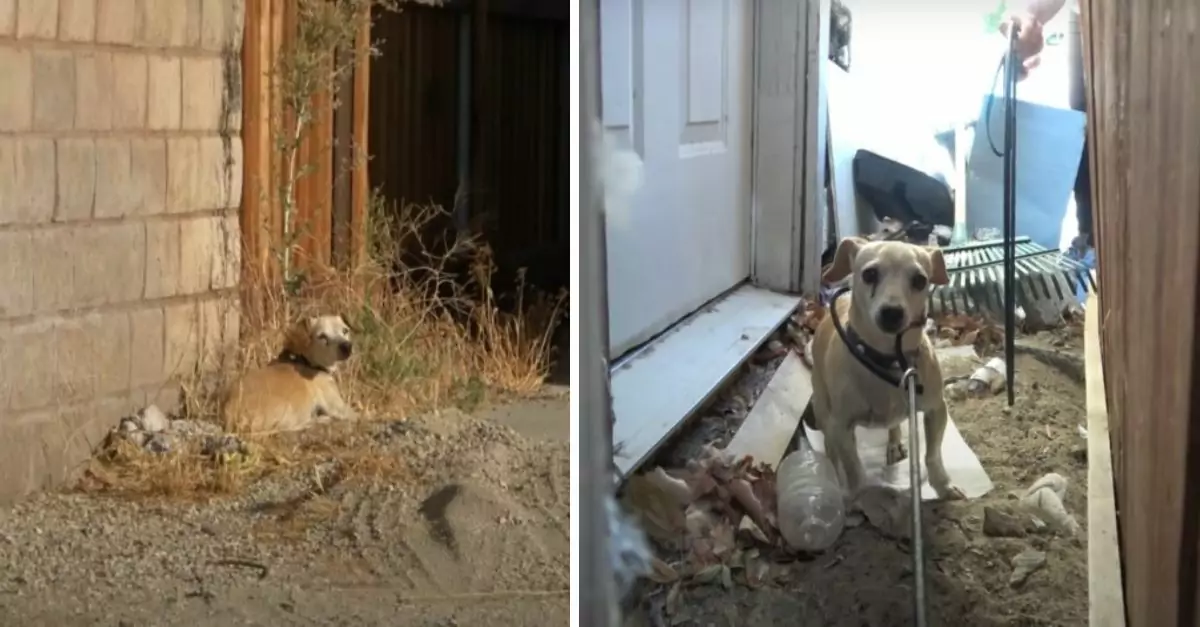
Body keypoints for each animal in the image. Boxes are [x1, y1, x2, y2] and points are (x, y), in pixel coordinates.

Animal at [223, 312, 357, 434]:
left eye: (345, 331)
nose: (346, 346)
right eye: (322, 336)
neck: (307, 361)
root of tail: (229, 415)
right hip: (289, 410)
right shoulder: (341, 409)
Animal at [806, 236, 964, 499]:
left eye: (920, 280)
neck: (888, 358)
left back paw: (894, 442)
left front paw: (942, 485)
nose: (892, 312)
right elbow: (854, 468)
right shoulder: (841, 427)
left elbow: (932, 455)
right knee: (831, 448)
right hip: (824, 410)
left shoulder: (936, 410)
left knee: (893, 425)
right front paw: (857, 497)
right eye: (869, 274)